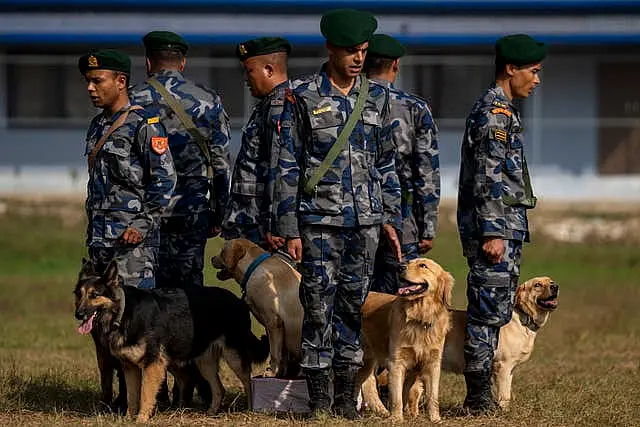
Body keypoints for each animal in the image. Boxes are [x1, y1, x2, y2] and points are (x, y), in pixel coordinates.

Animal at [75, 260, 270, 422]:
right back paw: (211, 413)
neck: (123, 314)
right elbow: (132, 396)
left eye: (94, 295)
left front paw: (141, 419)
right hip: (203, 362)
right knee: (218, 389)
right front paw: (128, 418)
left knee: (248, 383)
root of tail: (239, 300)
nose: (78, 314)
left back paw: (251, 410)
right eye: (79, 294)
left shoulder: (152, 365)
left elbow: (145, 394)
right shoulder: (130, 368)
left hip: (234, 357)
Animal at [209, 241, 302, 378]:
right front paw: (280, 372)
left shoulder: (273, 322)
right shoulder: (281, 328)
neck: (253, 268)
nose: (211, 258)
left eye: (222, 251)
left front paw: (272, 372)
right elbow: (283, 354)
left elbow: (274, 352)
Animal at [358, 260, 452, 422]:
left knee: (366, 382)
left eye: (423, 265)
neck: (420, 318)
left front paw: (435, 419)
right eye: (409, 262)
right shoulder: (396, 362)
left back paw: (381, 411)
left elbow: (432, 396)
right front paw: (396, 418)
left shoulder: (432, 363)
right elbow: (397, 397)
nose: (400, 267)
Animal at [442, 276, 556, 410]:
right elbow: (503, 395)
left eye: (551, 281)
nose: (555, 287)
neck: (524, 319)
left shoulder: (510, 370)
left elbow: (507, 394)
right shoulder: (503, 367)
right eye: (537, 285)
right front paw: (504, 411)